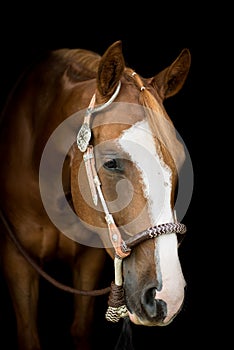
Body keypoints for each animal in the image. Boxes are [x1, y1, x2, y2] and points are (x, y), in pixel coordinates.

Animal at [0, 41, 191, 350]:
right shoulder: (16, 260)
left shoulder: (89, 260)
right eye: (111, 163)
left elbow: (81, 328)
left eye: (181, 160)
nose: (168, 297)